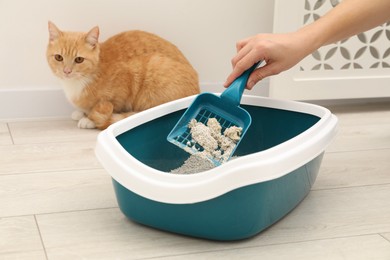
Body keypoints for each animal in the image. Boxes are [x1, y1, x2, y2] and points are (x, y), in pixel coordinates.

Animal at [46, 21, 198, 129]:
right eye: (59, 57)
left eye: (79, 59)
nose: (66, 71)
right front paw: (81, 113)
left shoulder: (125, 83)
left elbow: (107, 108)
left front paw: (89, 119)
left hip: (154, 66)